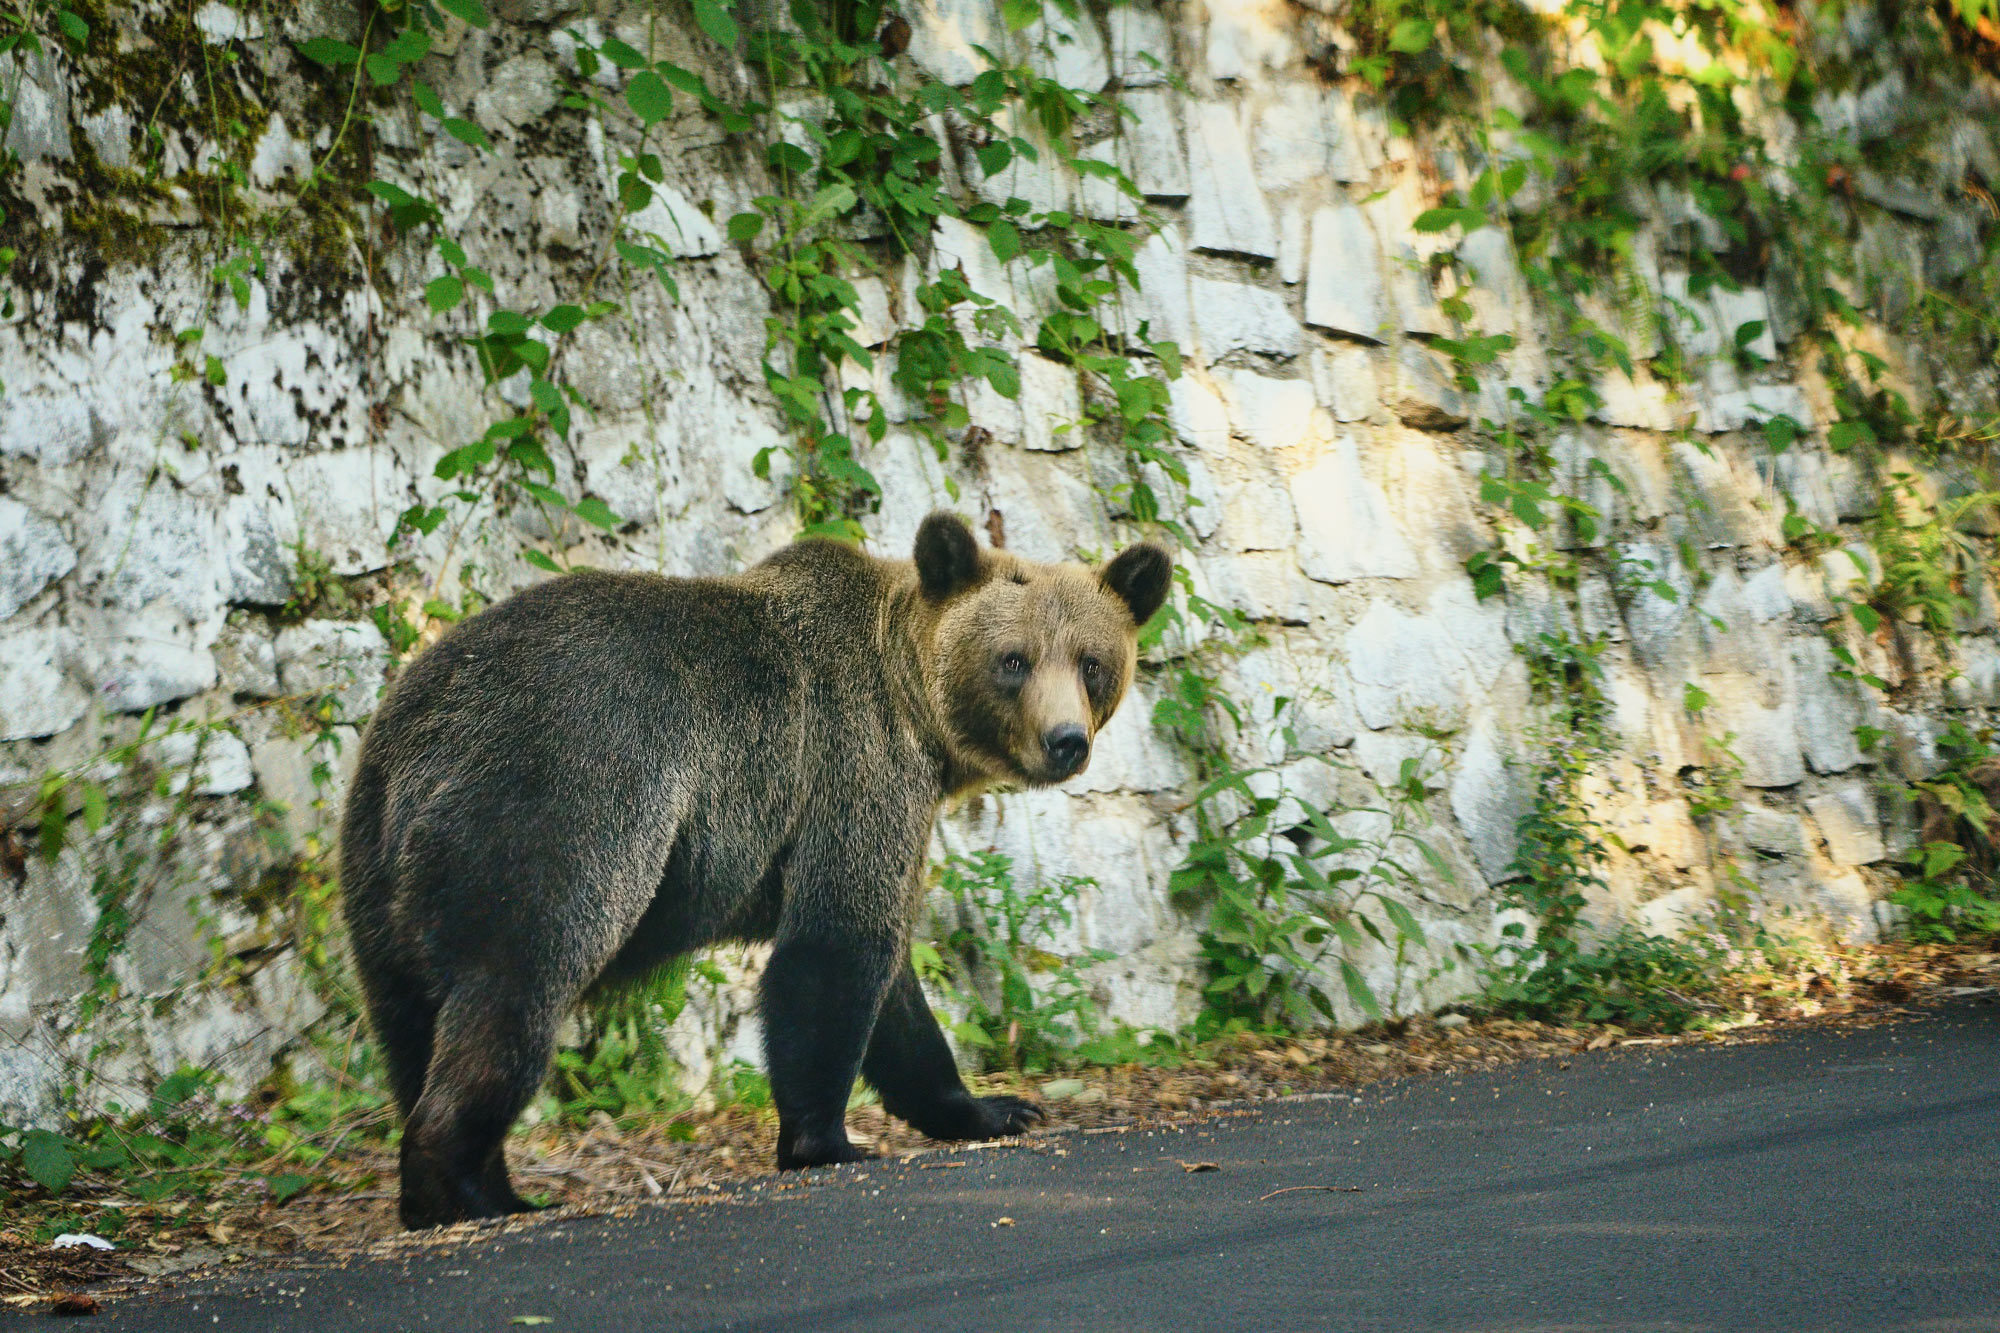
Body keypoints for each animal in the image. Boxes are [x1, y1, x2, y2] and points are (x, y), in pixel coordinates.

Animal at [336, 508, 1168, 1224]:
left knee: (410, 1016)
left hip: (377, 864)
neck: (917, 716)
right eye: (1013, 660)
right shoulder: (850, 765)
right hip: (559, 793)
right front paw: (827, 1140)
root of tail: (421, 729)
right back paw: (479, 1191)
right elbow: (837, 948)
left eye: (1093, 662)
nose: (1066, 740)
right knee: (515, 982)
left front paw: (992, 1107)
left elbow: (894, 986)